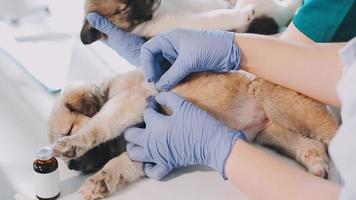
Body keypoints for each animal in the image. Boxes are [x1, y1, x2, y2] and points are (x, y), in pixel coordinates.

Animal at [48, 68, 338, 198]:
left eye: (69, 128)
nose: (71, 167)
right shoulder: (150, 145)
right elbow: (119, 164)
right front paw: (101, 181)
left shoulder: (129, 103)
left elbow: (99, 125)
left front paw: (72, 144)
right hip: (274, 132)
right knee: (310, 144)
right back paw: (315, 162)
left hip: (283, 103)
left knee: (330, 133)